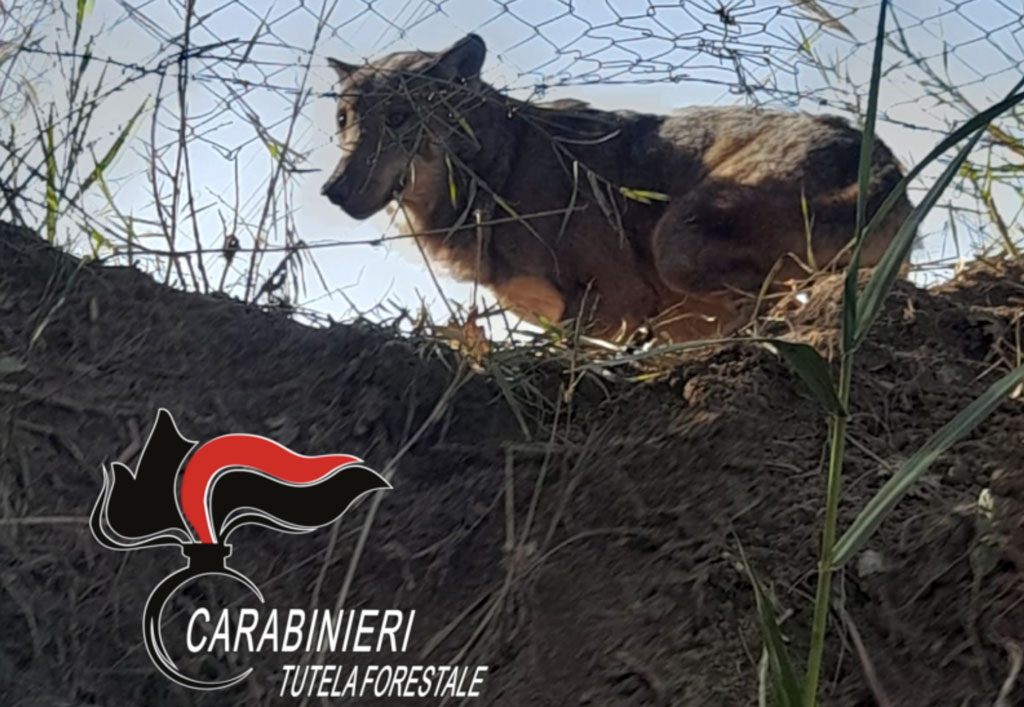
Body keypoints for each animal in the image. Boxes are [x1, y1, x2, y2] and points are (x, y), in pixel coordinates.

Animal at [321, 34, 912, 342]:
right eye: (344, 120)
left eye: (399, 117)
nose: (332, 191)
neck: (499, 171)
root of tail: (885, 169)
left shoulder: (616, 308)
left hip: (675, 242)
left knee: (763, 302)